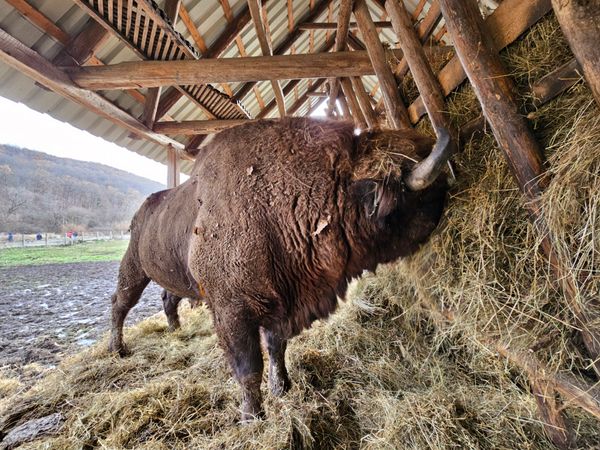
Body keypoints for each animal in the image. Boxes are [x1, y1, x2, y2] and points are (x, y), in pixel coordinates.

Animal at [109, 117, 450, 422]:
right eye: (423, 196)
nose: (449, 194)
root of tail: (142, 211)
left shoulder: (282, 303)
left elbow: (276, 347)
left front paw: (282, 387)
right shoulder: (233, 312)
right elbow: (249, 367)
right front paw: (252, 417)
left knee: (167, 298)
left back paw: (174, 330)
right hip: (135, 267)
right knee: (120, 303)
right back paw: (118, 349)